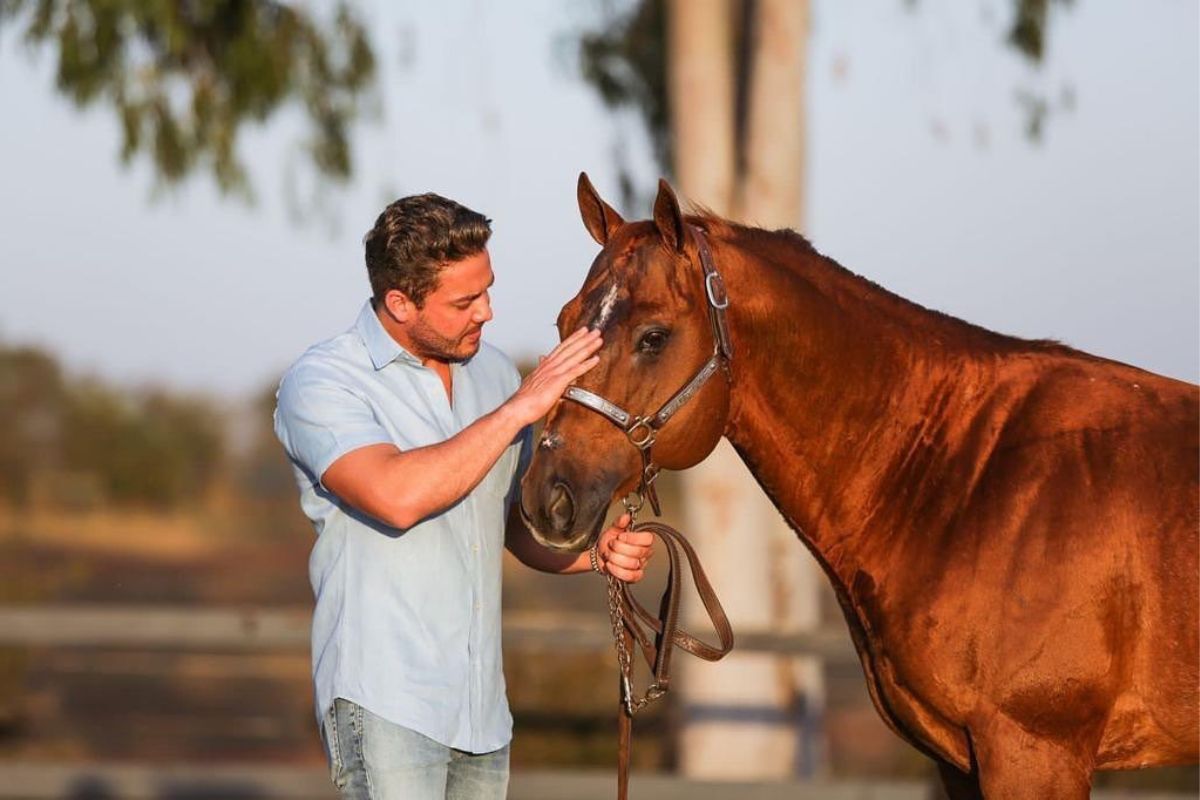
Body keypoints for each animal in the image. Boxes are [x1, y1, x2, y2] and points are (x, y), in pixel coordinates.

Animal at [523, 176, 1200, 800]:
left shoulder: (1035, 752)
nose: (546, 497)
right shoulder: (960, 762)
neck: (971, 476)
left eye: (654, 336)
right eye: (563, 323)